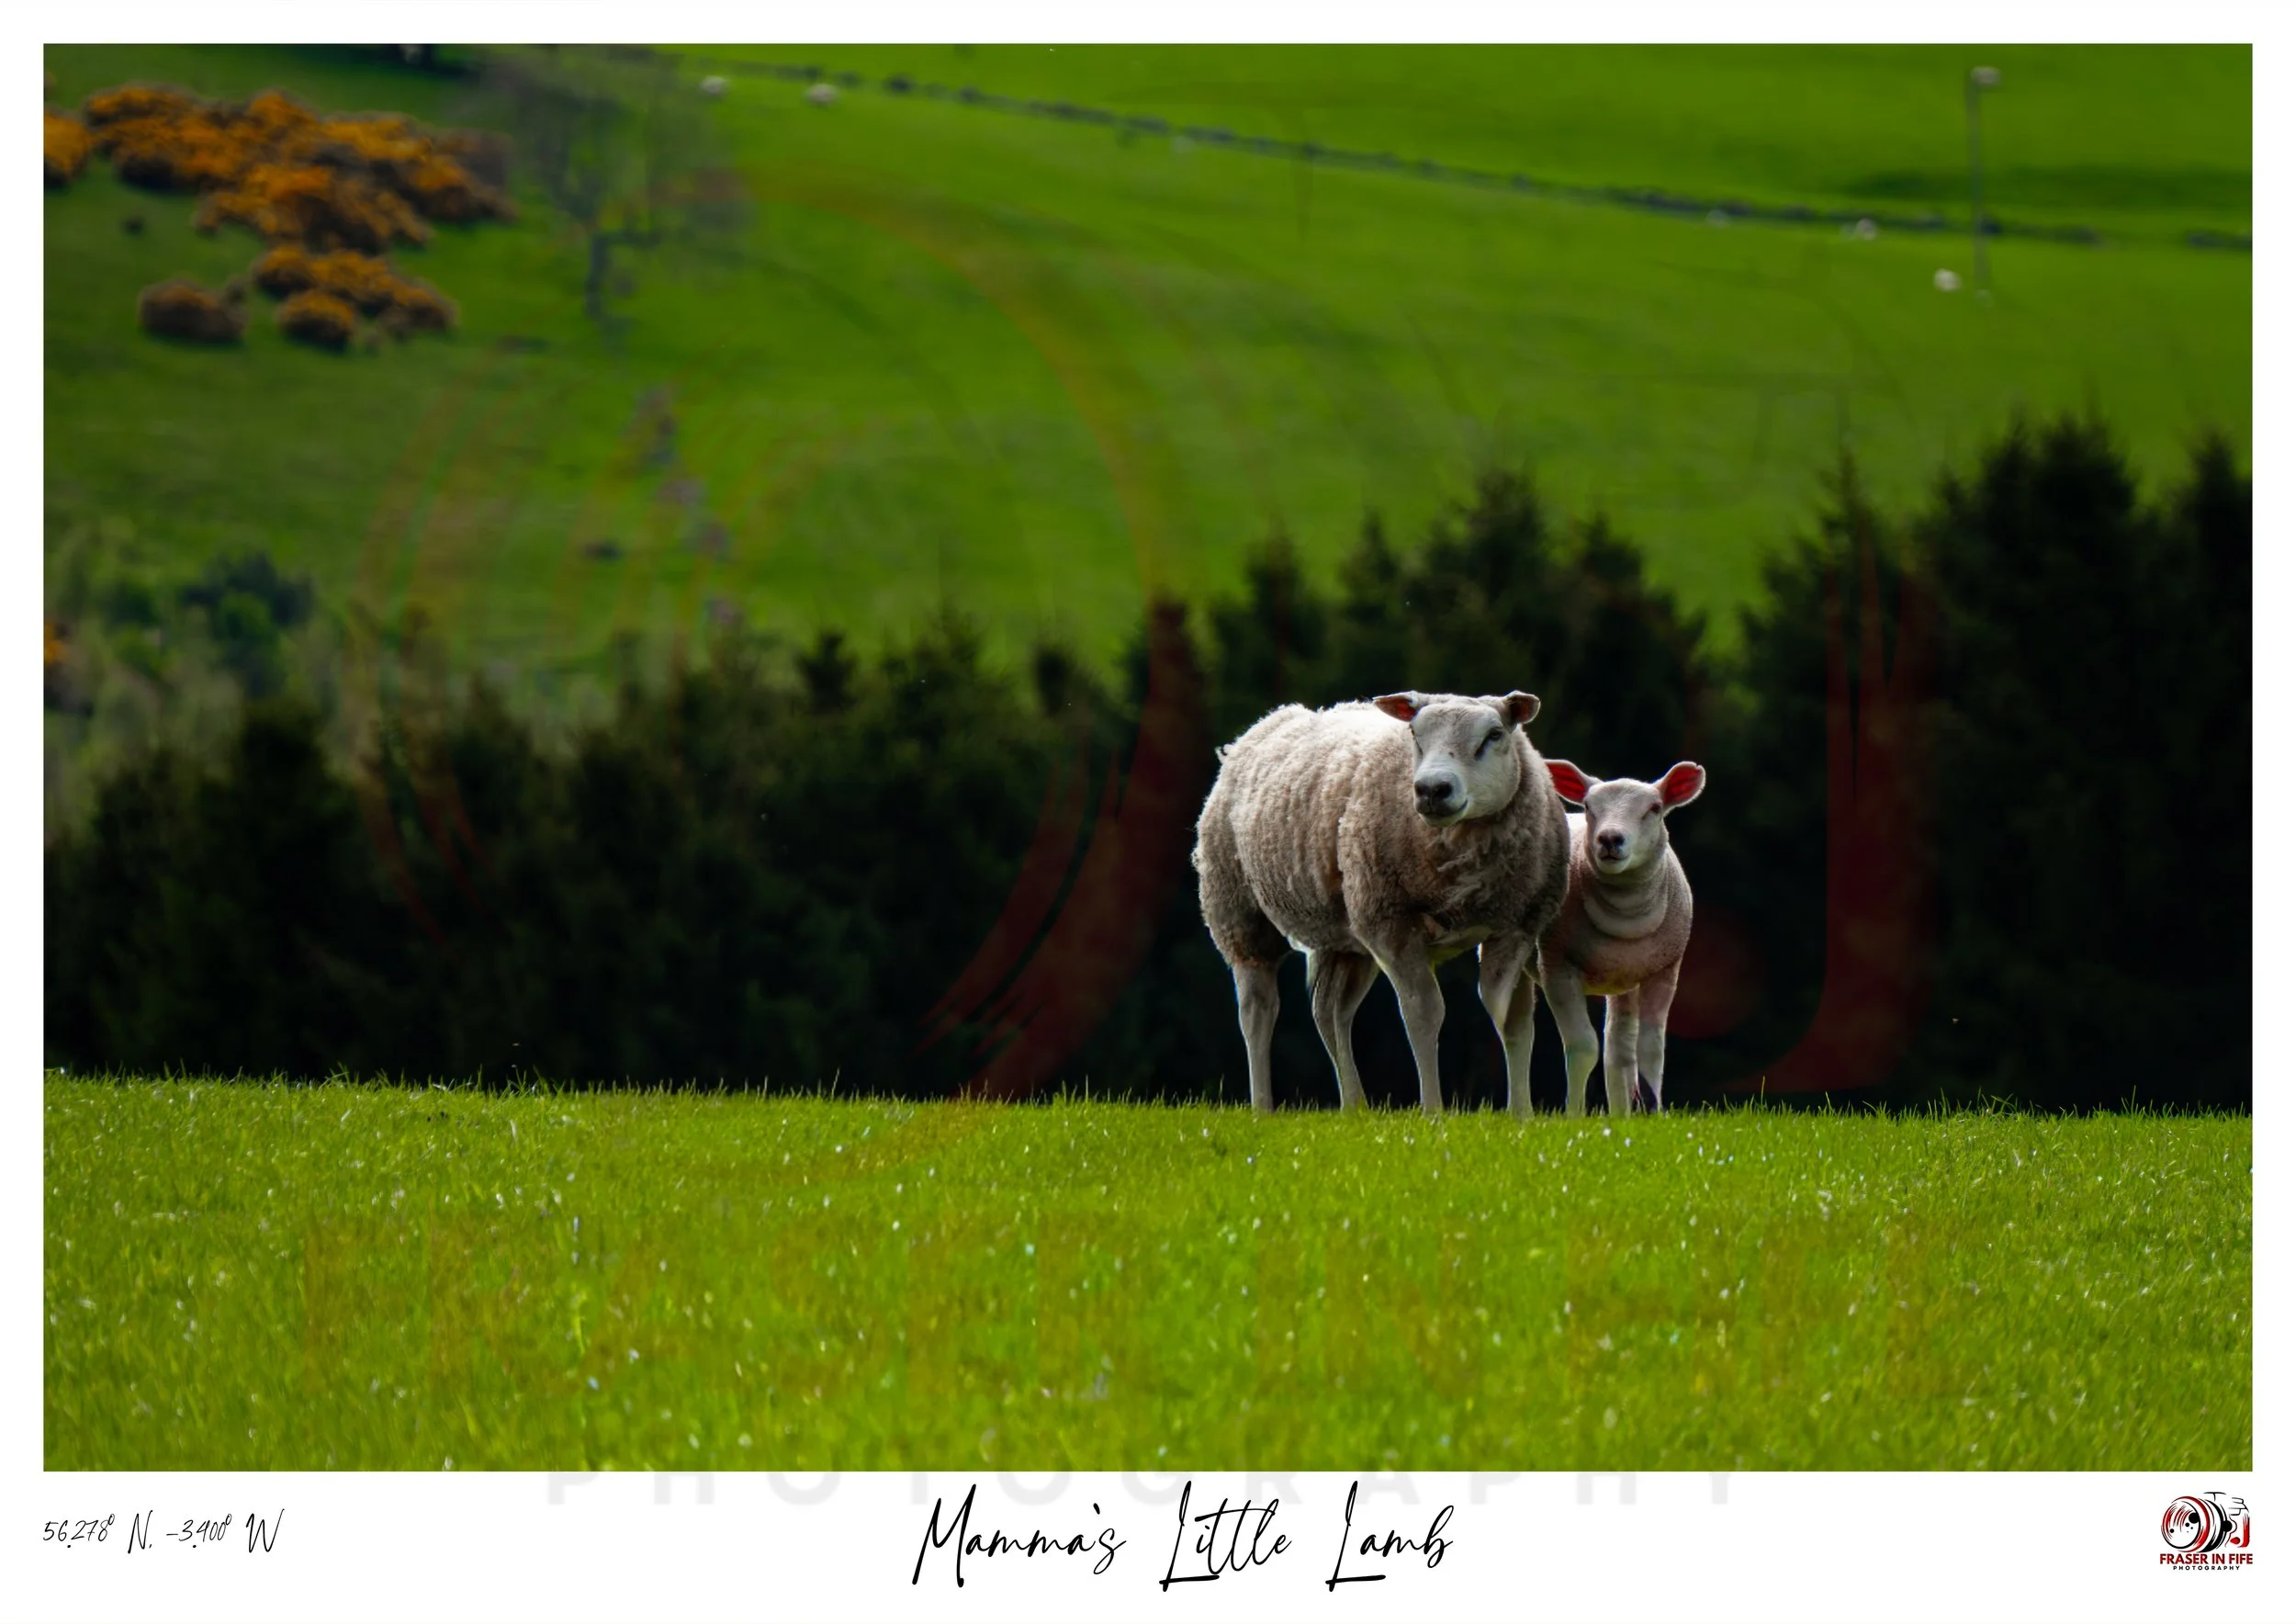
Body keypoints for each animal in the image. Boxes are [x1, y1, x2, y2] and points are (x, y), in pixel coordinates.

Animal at [1194, 690, 1572, 1116]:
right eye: (1414, 734)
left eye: (1494, 735)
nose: (1432, 790)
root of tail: (1269, 721)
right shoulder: (1392, 926)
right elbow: (1424, 1014)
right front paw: (1433, 1112)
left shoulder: (1516, 926)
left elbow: (1510, 1018)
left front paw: (1521, 1114)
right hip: (1239, 913)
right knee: (1258, 1010)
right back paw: (1262, 1107)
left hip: (1345, 938)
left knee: (1331, 1011)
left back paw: (1355, 1107)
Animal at [1536, 760, 1707, 1116]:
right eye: (1588, 806)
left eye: (1654, 808)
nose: (1610, 839)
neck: (1625, 918)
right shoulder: (1556, 963)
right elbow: (1583, 1046)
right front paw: (1573, 1116)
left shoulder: (1665, 971)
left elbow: (1651, 1050)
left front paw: (1654, 1114)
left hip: (1624, 978)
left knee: (1619, 1049)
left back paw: (1621, 1113)